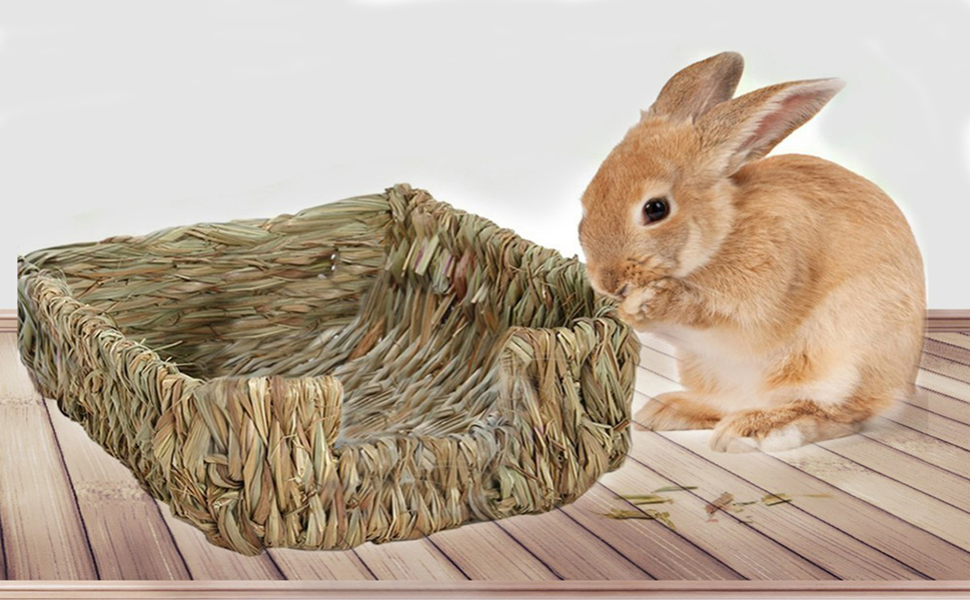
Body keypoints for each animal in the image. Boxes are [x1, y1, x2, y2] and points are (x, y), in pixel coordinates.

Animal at [578, 52, 925, 452]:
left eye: (656, 209)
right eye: (587, 199)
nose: (607, 281)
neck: (720, 236)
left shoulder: (762, 295)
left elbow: (712, 311)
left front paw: (648, 304)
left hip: (842, 359)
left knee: (844, 413)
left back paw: (761, 428)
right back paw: (670, 410)